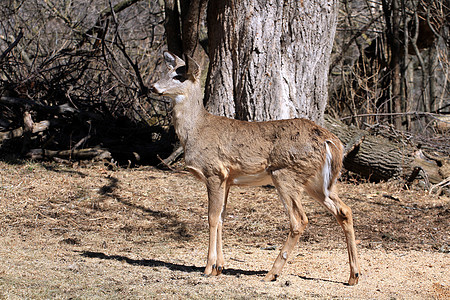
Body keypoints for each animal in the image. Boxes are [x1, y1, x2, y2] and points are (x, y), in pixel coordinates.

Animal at [151, 52, 362, 286]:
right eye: (167, 71)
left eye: (179, 76)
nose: (153, 86)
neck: (195, 131)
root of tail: (331, 141)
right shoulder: (228, 179)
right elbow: (222, 217)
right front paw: (219, 267)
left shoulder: (214, 172)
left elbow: (212, 217)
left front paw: (207, 267)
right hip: (318, 182)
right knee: (344, 210)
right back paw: (353, 276)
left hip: (285, 174)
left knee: (299, 220)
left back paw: (272, 273)